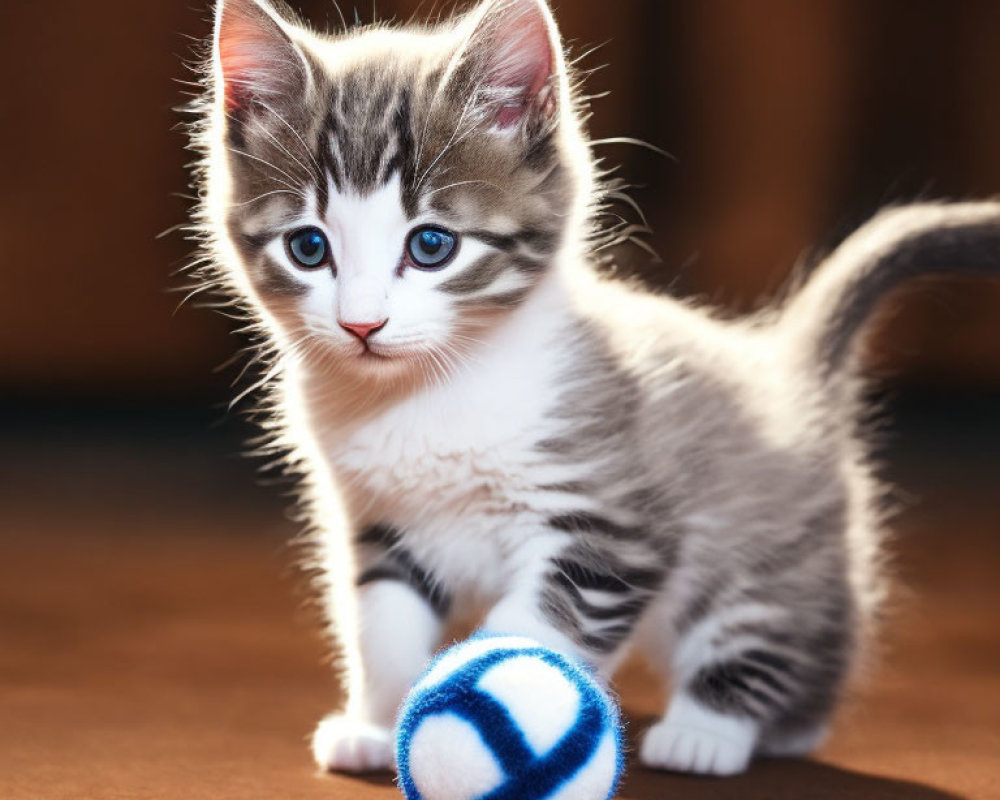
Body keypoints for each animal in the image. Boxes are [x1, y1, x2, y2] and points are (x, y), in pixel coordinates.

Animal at [189, 0, 1000, 780]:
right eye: (308, 247)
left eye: (431, 245)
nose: (362, 325)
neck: (429, 394)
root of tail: (785, 362)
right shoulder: (378, 520)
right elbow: (381, 629)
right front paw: (380, 724)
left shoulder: (610, 525)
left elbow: (527, 632)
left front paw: (483, 724)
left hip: (762, 547)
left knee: (776, 631)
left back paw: (713, 731)